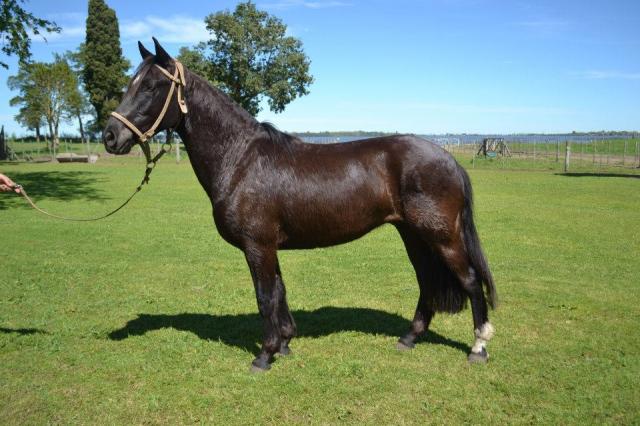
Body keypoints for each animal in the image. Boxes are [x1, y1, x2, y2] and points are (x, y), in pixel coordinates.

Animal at [103, 38, 498, 372]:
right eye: (130, 84)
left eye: (151, 87)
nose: (109, 136)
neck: (240, 158)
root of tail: (448, 159)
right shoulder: (268, 247)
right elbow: (279, 292)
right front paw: (285, 343)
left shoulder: (257, 246)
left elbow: (265, 297)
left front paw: (264, 355)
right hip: (413, 235)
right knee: (427, 280)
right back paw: (410, 338)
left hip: (441, 236)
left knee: (470, 280)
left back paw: (478, 347)